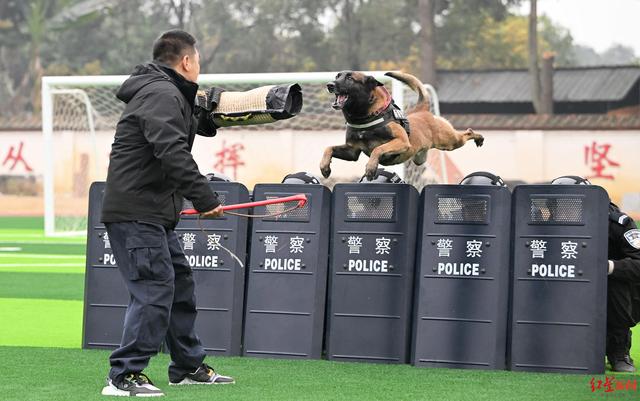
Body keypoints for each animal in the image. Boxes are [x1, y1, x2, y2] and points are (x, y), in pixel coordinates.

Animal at [320, 70, 484, 180]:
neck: (366, 117)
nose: (329, 85)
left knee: (467, 133)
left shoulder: (402, 142)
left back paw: (479, 137)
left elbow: (378, 149)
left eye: (350, 78)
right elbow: (328, 148)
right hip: (420, 158)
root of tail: (421, 110)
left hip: (449, 142)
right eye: (337, 76)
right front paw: (324, 167)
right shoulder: (352, 152)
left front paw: (371, 167)